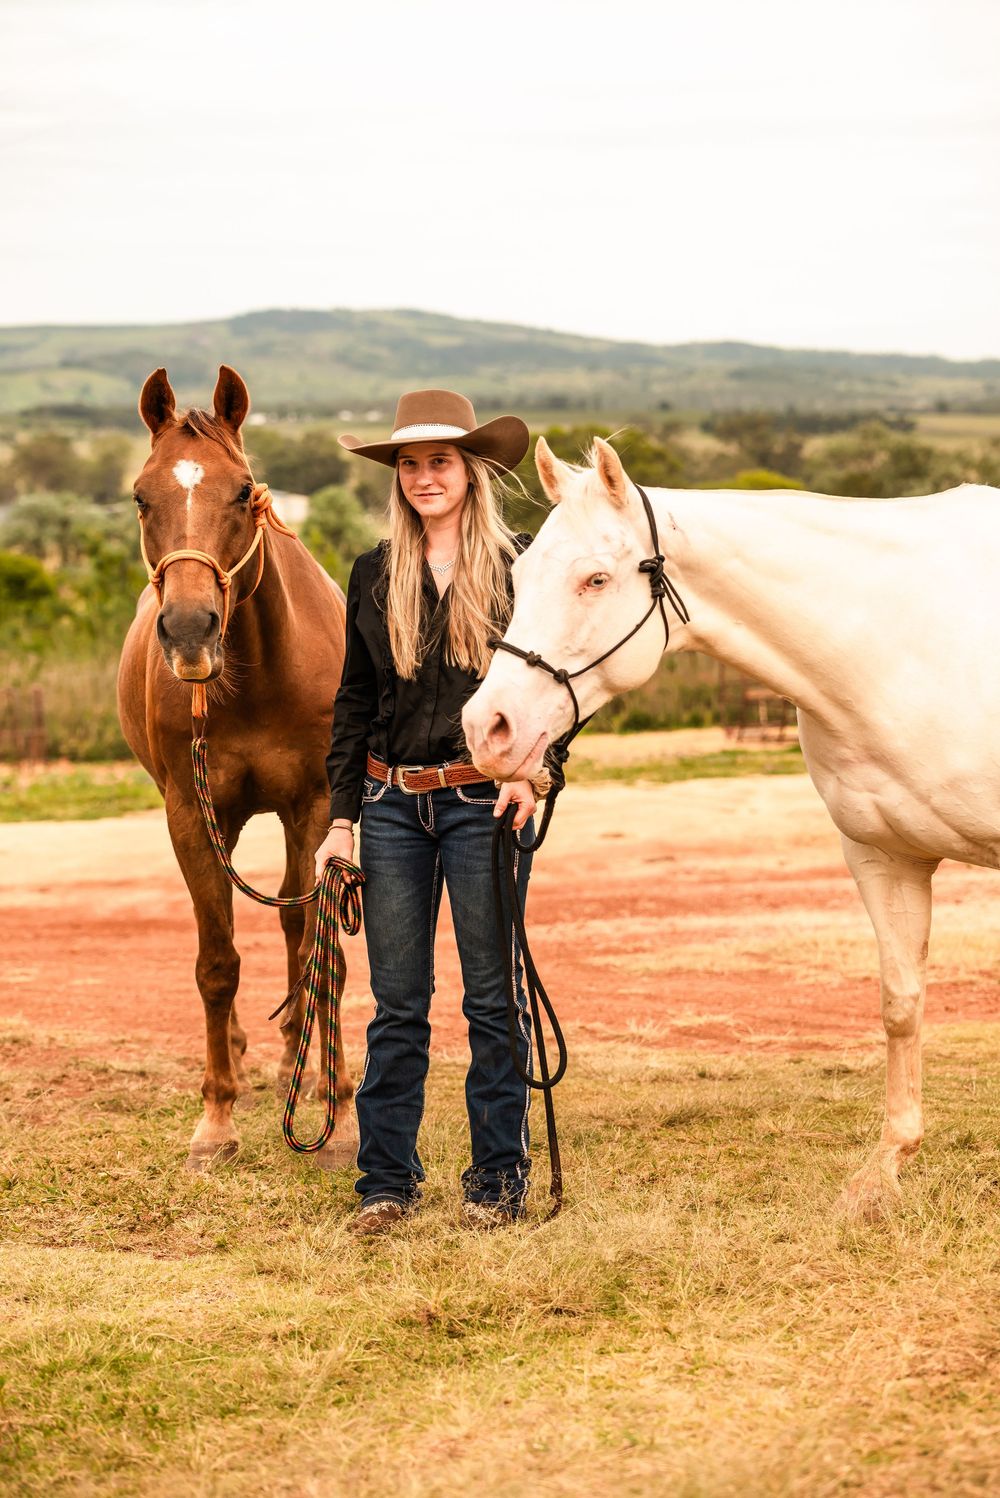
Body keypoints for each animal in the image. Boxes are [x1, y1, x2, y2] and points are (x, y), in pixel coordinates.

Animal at [117, 365, 357, 1170]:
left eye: (244, 489)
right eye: (141, 494)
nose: (191, 630)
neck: (251, 676)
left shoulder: (316, 803)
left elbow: (316, 945)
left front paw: (335, 1106)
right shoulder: (191, 814)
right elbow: (216, 961)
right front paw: (215, 1120)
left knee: (292, 924)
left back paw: (291, 1061)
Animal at [463, 435, 1000, 1219]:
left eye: (595, 579)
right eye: (522, 572)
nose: (488, 728)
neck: (904, 640)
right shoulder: (883, 858)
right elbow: (901, 1005)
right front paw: (882, 1173)